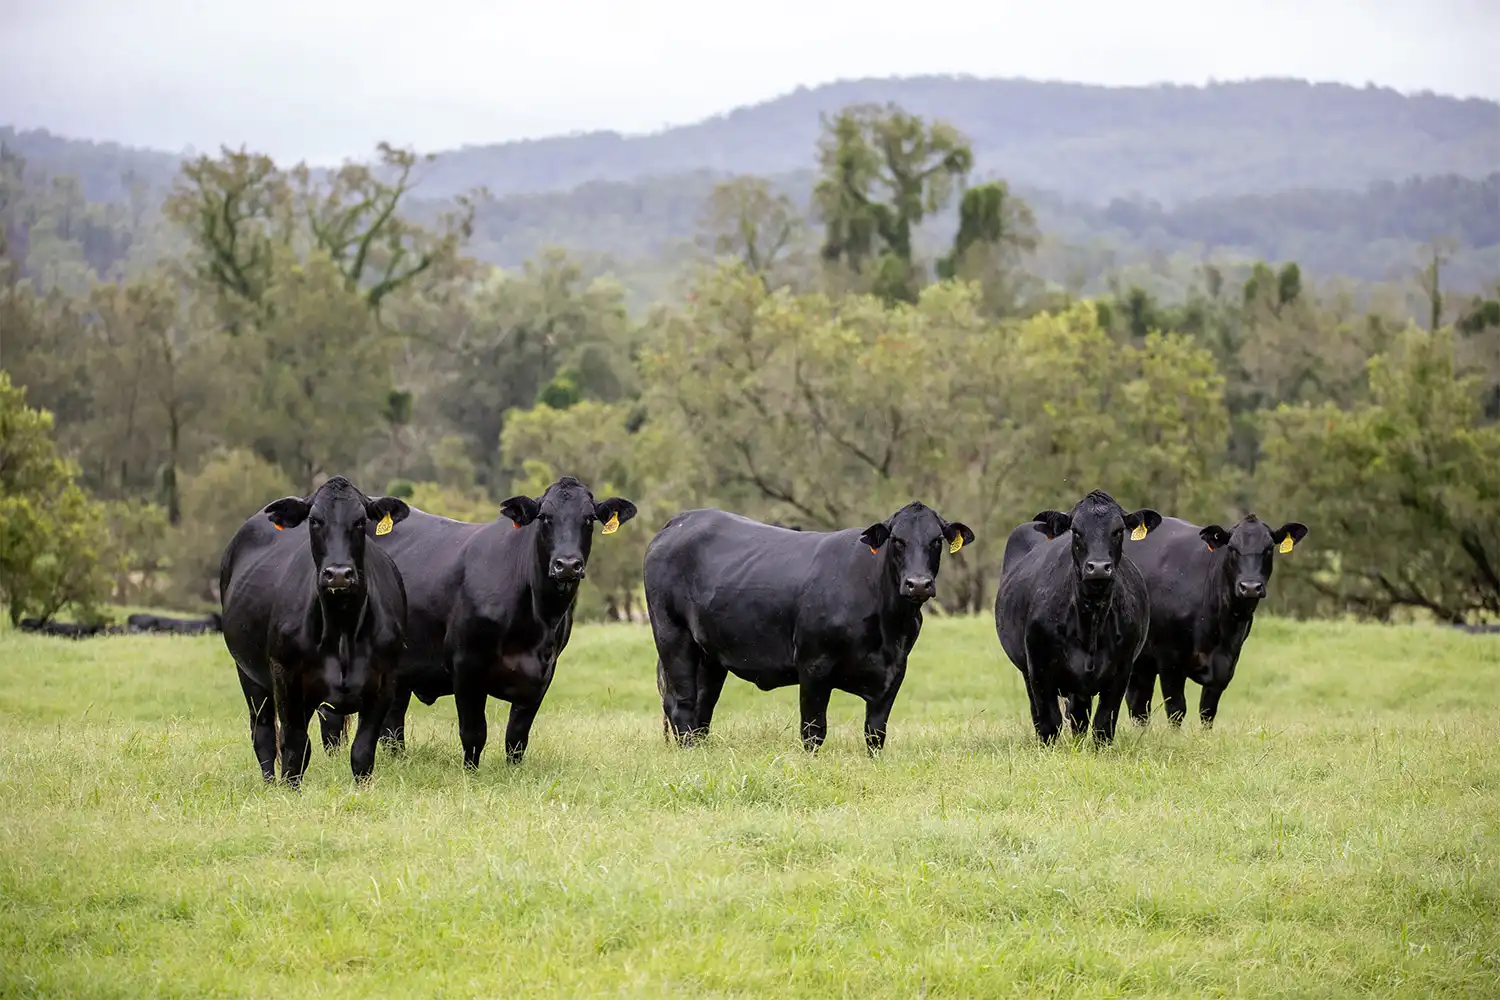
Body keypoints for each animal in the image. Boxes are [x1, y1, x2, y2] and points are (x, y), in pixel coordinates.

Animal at [219, 476, 410, 786]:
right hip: (249, 675)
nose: (339, 574)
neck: (342, 627)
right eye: (315, 520)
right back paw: (269, 783)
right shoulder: (286, 678)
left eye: (360, 521)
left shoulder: (385, 682)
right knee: (264, 734)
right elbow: (296, 748)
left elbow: (362, 752)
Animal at [353, 475, 637, 769]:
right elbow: (474, 732)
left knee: (392, 723)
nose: (567, 565)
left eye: (589, 518)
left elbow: (517, 737)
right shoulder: (466, 664)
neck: (538, 620)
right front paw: (470, 773)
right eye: (545, 517)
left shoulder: (543, 673)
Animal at [643, 502, 975, 754]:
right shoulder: (814, 665)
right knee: (682, 704)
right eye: (897, 540)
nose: (918, 584)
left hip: (709, 655)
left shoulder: (894, 672)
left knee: (703, 708)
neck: (888, 627)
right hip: (672, 636)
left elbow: (875, 734)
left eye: (936, 541)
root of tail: (681, 520)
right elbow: (813, 730)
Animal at [995, 490, 1161, 745]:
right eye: (1075, 531)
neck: (1090, 623)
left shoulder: (1121, 672)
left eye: (1118, 530)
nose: (1099, 567)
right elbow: (1049, 723)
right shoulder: (1039, 670)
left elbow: (1103, 726)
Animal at [1124, 514, 1308, 729]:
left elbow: (1208, 711)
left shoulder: (1226, 663)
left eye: (1269, 548)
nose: (1250, 587)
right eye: (1232, 548)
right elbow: (1177, 710)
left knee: (1138, 706)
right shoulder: (1169, 659)